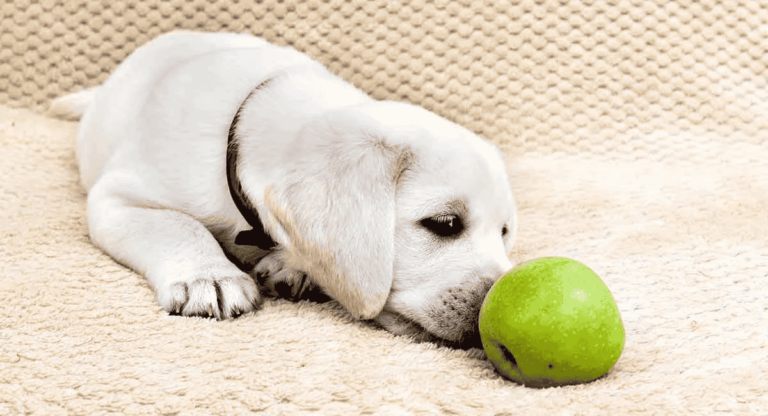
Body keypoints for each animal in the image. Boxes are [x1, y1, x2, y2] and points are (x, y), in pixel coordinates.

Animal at [51, 30, 520, 348]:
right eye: (445, 223)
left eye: (504, 233)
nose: (499, 298)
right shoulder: (116, 196)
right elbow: (177, 226)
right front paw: (209, 275)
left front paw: (292, 265)